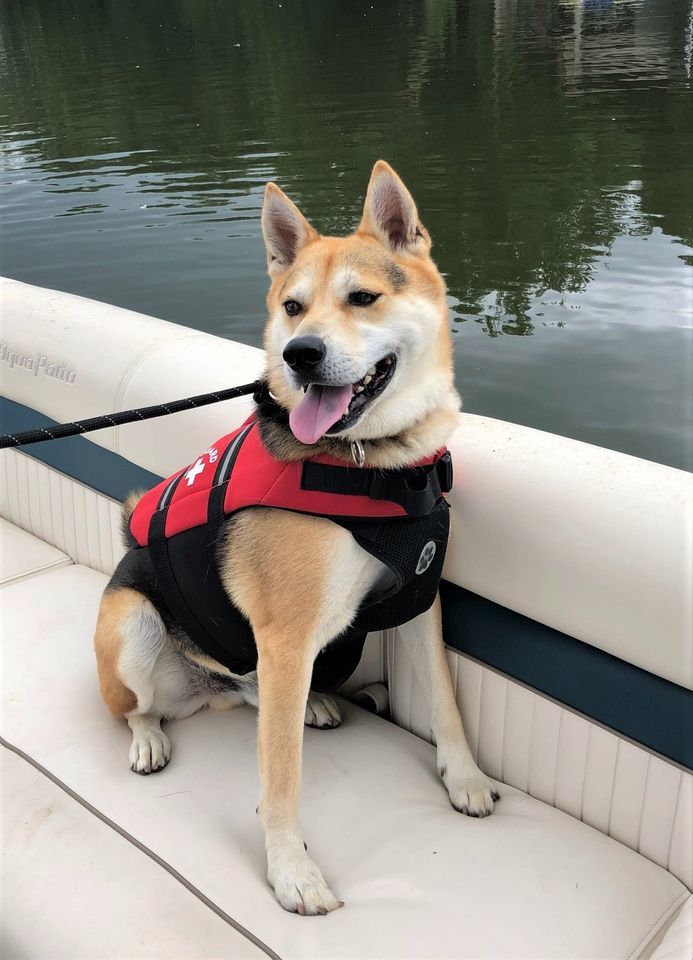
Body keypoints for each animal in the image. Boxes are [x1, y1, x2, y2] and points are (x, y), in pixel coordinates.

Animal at [96, 163, 498, 916]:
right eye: (291, 307)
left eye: (362, 298)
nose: (299, 353)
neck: (370, 464)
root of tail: (206, 688)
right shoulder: (284, 636)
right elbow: (280, 778)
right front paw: (291, 873)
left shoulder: (419, 600)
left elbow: (445, 702)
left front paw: (464, 779)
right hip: (132, 624)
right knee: (140, 711)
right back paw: (149, 740)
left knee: (259, 697)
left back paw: (310, 702)